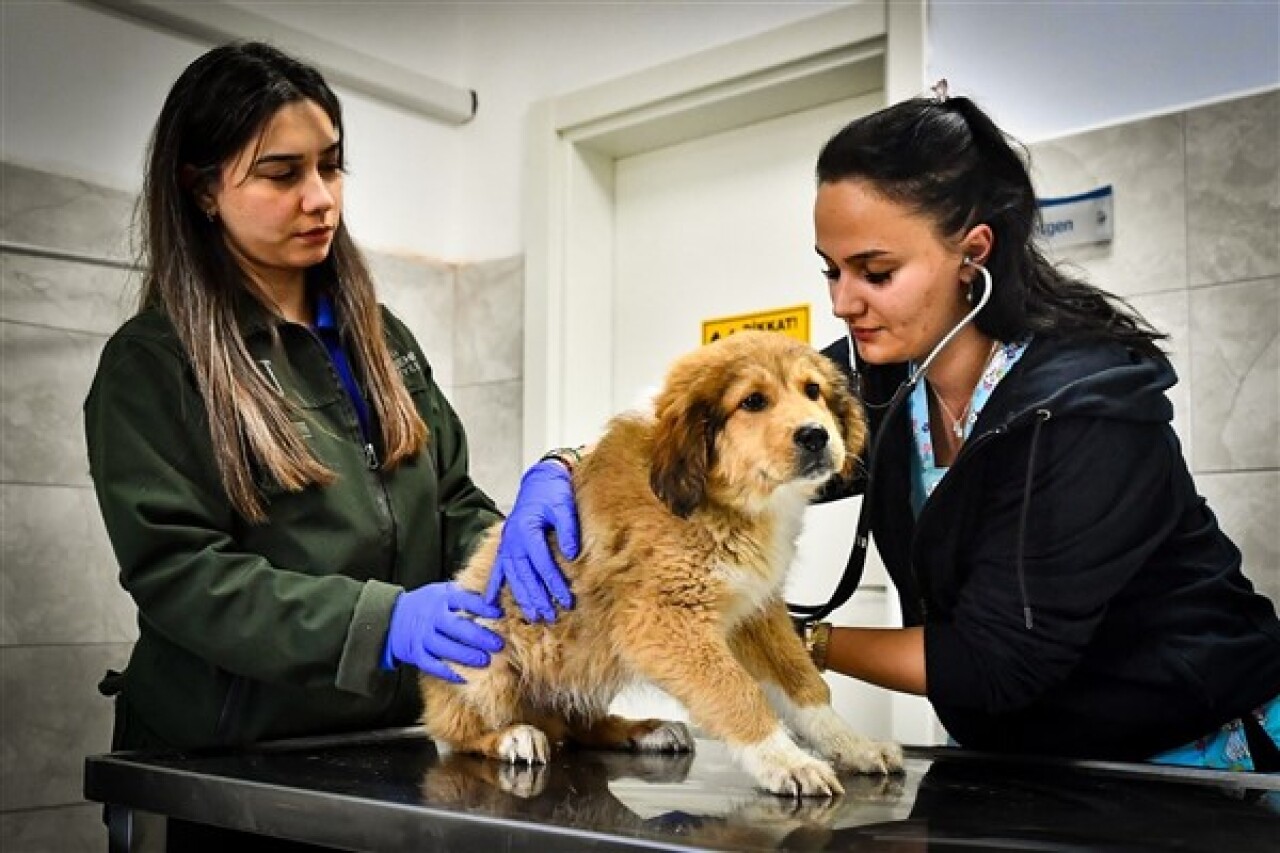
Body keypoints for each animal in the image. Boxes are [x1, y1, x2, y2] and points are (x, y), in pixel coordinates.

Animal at [419, 327, 901, 794]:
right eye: (753, 401)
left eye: (813, 390)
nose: (816, 435)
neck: (722, 501)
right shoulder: (661, 620)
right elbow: (737, 691)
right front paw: (788, 763)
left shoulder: (756, 612)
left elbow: (805, 686)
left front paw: (854, 746)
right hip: (483, 659)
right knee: (459, 732)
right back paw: (513, 736)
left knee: (579, 724)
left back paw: (645, 730)